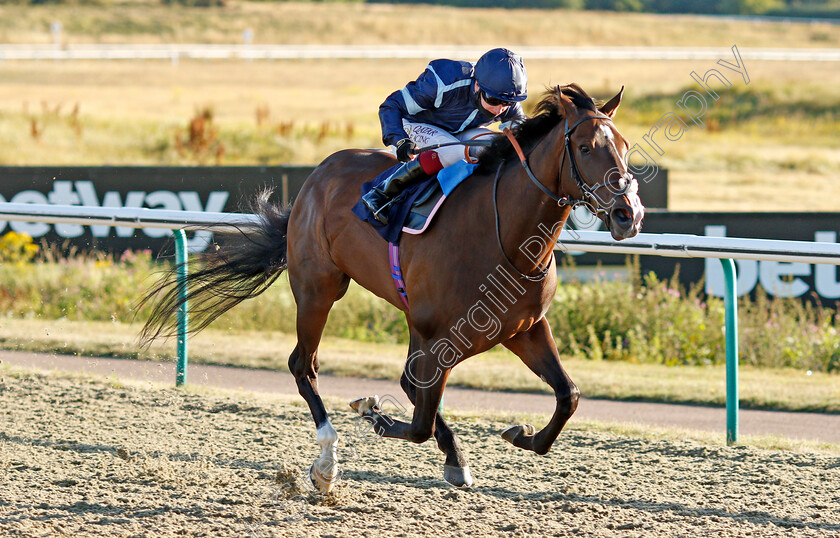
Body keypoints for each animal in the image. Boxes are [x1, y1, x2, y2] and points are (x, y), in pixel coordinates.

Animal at [141, 82, 648, 490]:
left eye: (624, 145)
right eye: (586, 146)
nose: (629, 213)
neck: (506, 234)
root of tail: (316, 175)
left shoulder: (524, 327)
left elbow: (568, 395)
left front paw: (520, 435)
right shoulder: (438, 333)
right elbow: (418, 421)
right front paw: (375, 416)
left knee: (406, 381)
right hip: (319, 288)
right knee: (304, 365)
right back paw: (326, 464)